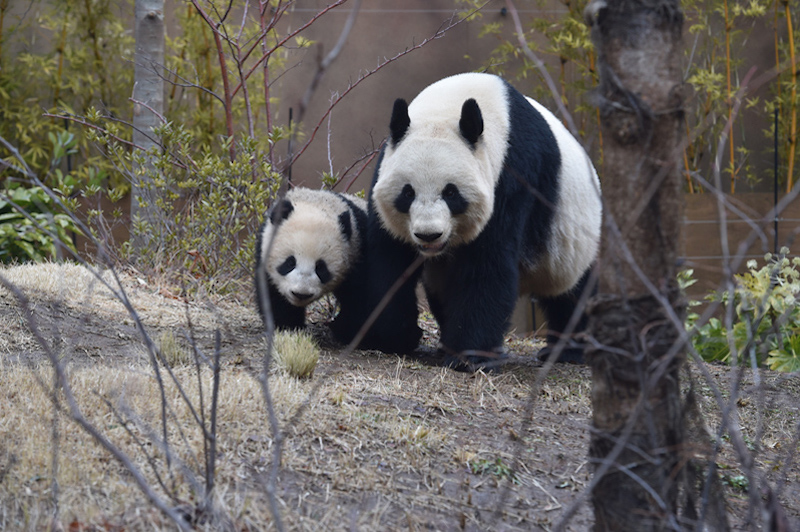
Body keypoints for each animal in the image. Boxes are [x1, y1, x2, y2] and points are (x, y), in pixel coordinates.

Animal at [255, 187, 368, 328]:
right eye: (290, 262)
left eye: (320, 267)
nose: (301, 294)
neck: (317, 202)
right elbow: (273, 294)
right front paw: (288, 325)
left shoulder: (359, 251)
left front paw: (342, 327)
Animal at [332, 72, 600, 368]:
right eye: (408, 192)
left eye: (451, 192)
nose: (428, 235)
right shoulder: (386, 168)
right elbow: (389, 258)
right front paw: (391, 336)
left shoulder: (514, 177)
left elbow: (487, 264)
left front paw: (469, 356)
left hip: (573, 238)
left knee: (573, 292)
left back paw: (568, 350)